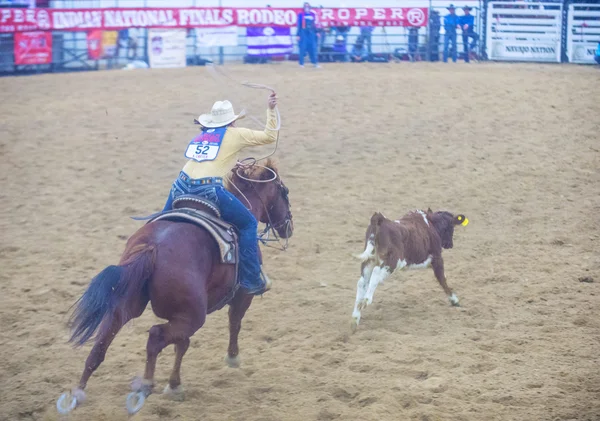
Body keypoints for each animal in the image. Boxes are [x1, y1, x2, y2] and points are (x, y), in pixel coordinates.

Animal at [55, 160, 294, 414]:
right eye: (284, 191)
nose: (288, 226)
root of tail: (153, 247)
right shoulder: (241, 296)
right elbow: (234, 322)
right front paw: (232, 358)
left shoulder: (181, 316)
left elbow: (183, 345)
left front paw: (174, 385)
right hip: (193, 316)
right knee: (155, 336)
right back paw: (144, 386)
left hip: (128, 307)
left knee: (102, 343)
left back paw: (76, 393)